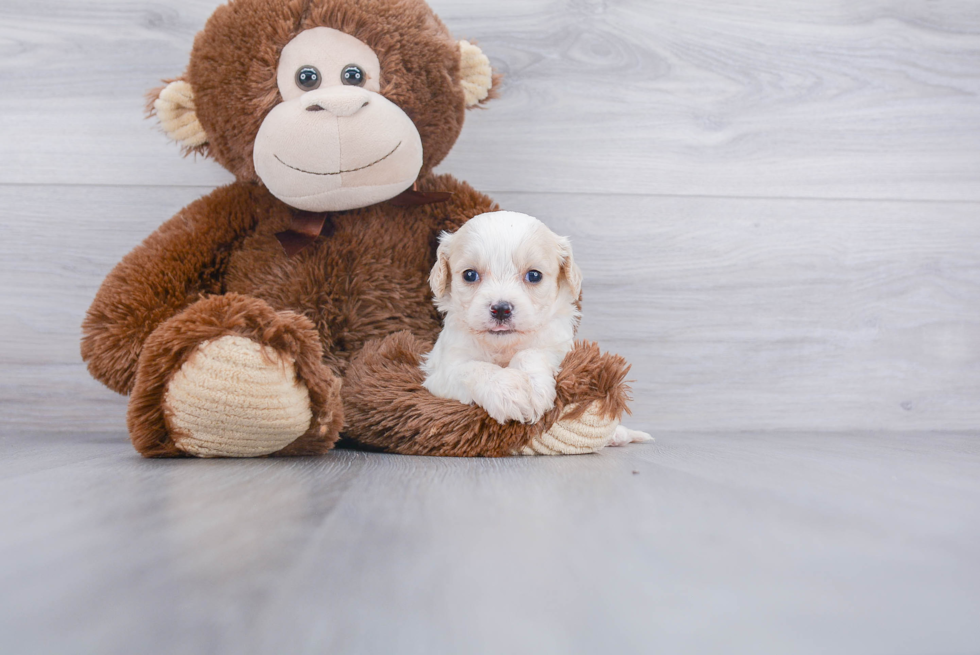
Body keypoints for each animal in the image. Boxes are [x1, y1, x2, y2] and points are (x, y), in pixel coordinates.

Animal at [424, 213, 656, 448]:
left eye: (534, 276)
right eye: (470, 275)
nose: (501, 309)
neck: (504, 347)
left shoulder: (559, 348)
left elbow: (532, 353)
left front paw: (533, 388)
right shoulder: (441, 372)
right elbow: (474, 368)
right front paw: (509, 393)